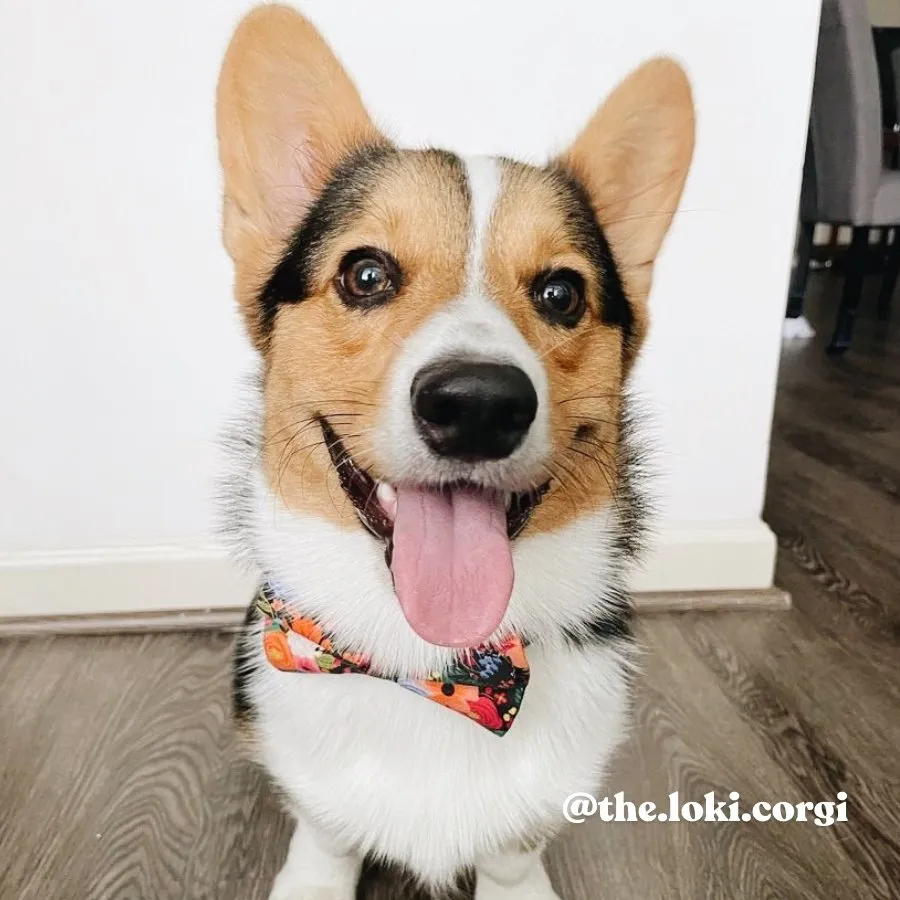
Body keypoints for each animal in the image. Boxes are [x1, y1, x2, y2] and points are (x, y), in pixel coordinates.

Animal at [218, 8, 696, 900]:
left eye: (561, 293)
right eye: (365, 274)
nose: (477, 406)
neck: (434, 667)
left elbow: (513, 853)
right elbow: (327, 833)